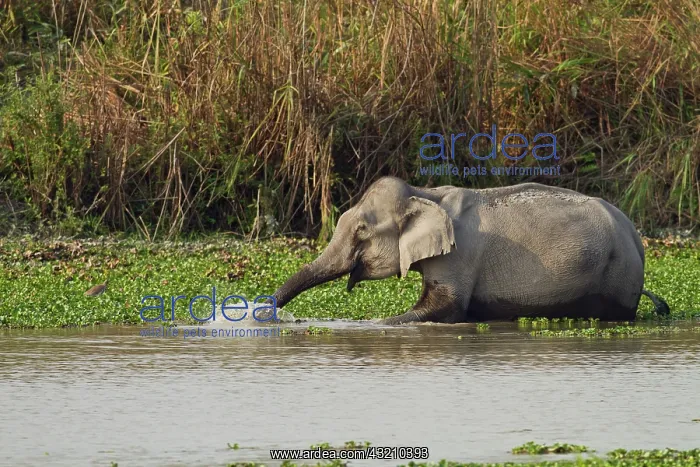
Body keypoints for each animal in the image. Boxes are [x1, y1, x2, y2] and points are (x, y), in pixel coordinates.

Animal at [268, 177, 670, 324]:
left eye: (362, 230)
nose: (264, 313)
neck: (426, 193)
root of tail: (636, 235)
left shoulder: (458, 256)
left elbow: (445, 309)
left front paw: (375, 325)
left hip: (617, 276)